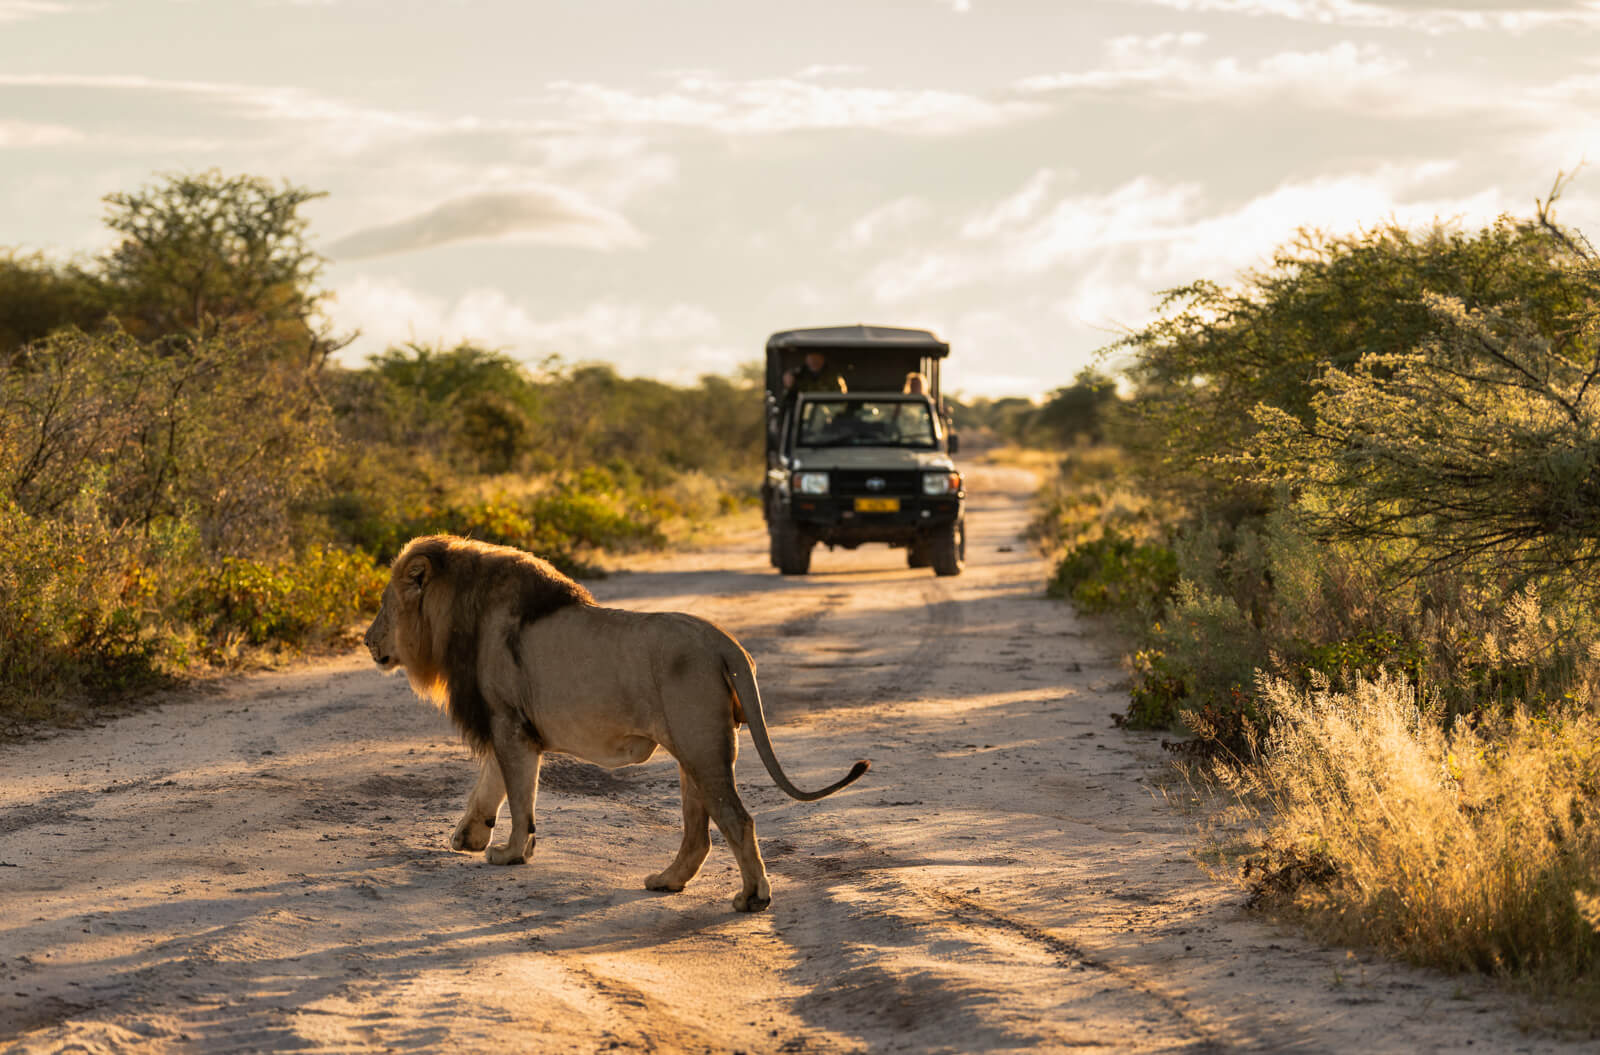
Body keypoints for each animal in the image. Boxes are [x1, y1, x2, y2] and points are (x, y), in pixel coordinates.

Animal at [362, 534, 869, 912]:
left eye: (385, 604)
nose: (366, 641)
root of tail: (724, 642)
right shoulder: (508, 724)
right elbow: (491, 784)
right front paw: (469, 836)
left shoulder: (509, 724)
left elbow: (520, 798)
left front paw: (509, 853)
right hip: (693, 753)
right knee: (698, 833)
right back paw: (667, 881)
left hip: (701, 746)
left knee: (737, 820)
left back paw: (751, 897)